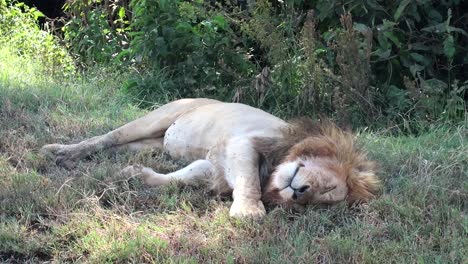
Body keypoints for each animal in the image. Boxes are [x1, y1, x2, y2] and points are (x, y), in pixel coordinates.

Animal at [41, 98, 380, 218]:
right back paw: (60, 152)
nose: (300, 192)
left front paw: (133, 175)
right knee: (108, 137)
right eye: (327, 187)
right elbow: (247, 181)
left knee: (116, 147)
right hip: (159, 116)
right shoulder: (243, 143)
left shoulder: (212, 164)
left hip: (152, 144)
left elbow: (179, 179)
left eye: (319, 199)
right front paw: (249, 211)